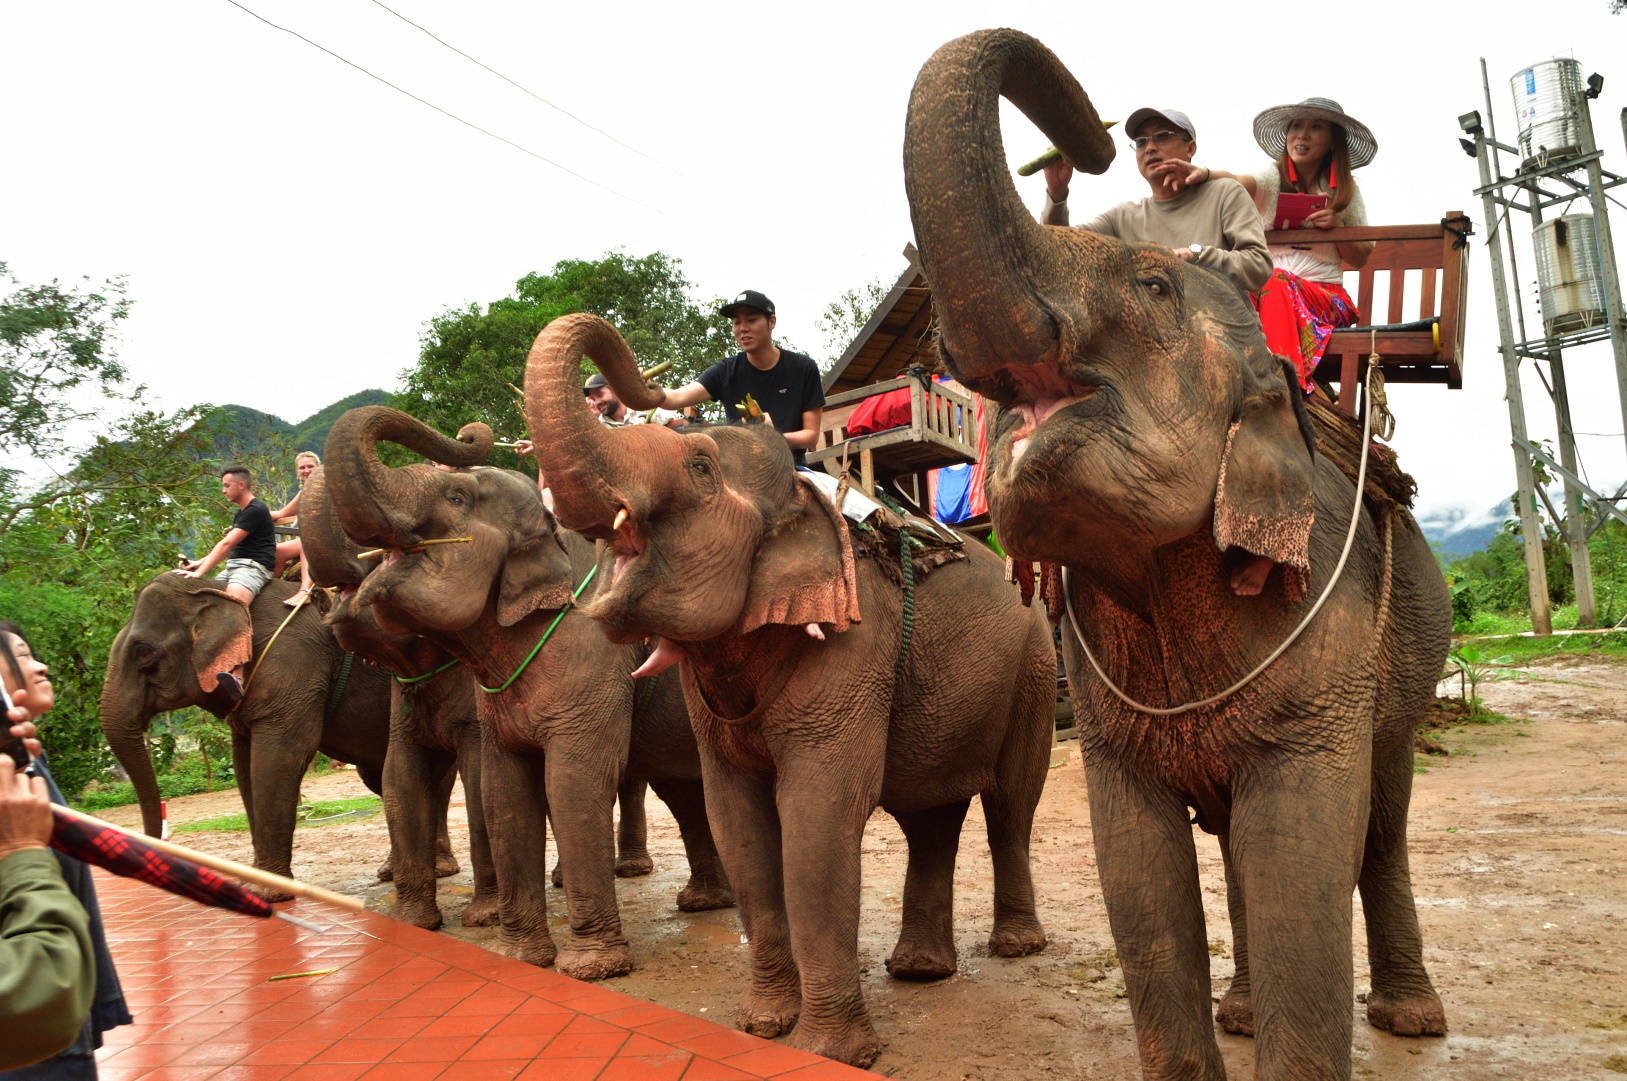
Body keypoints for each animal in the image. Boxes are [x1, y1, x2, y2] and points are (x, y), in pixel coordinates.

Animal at [102, 569, 393, 892]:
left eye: (144, 652)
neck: (214, 590)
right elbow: (243, 766)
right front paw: (255, 884)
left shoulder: (293, 664)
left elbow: (277, 759)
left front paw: (267, 892)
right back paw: (391, 872)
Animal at [320, 405, 735, 976]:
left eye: (456, 498)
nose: (469, 432)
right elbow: (493, 790)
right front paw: (514, 956)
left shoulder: (591, 656)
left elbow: (573, 782)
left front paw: (591, 969)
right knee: (684, 789)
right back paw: (705, 903)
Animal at [520, 312, 1054, 1061]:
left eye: (700, 468)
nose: (637, 388)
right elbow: (736, 821)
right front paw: (764, 1025)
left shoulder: (854, 638)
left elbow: (818, 816)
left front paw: (832, 1052)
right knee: (930, 813)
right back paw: (919, 970)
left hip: (1034, 669)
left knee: (1010, 801)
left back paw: (1014, 947)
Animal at [904, 25, 1451, 1081]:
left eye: (1152, 287)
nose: (1088, 143)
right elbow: (1138, 875)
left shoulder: (1324, 638)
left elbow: (1300, 862)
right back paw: (1242, 1010)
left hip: (1402, 662)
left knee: (1384, 819)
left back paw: (1411, 1018)